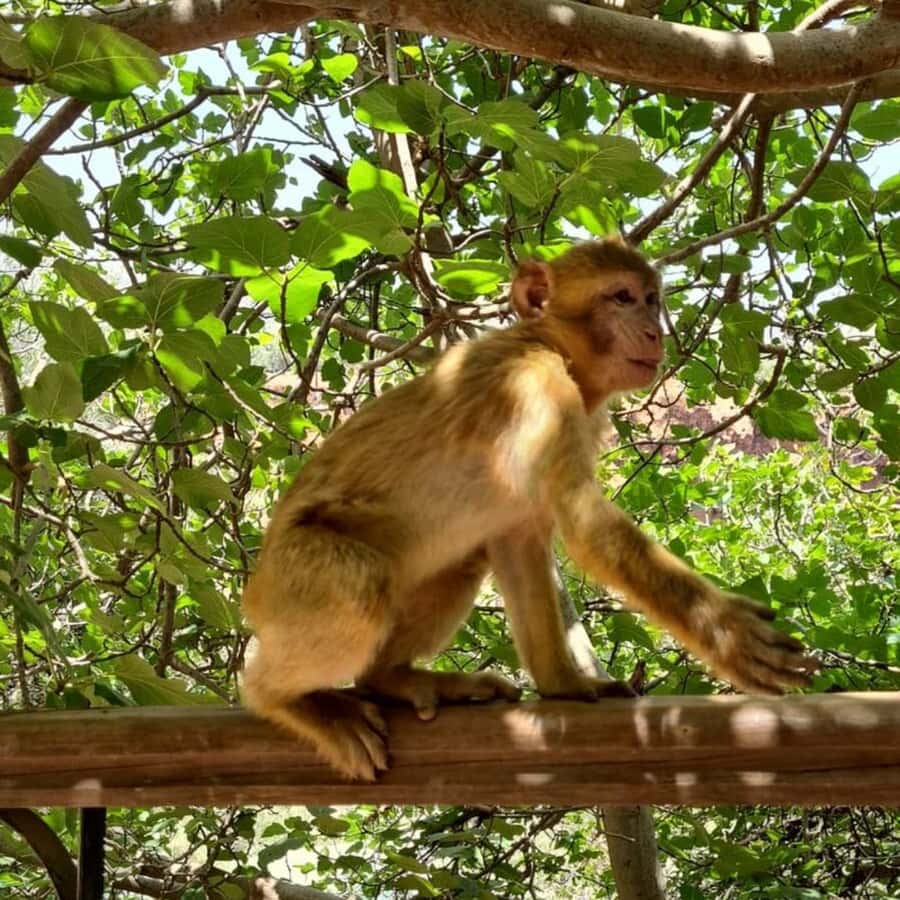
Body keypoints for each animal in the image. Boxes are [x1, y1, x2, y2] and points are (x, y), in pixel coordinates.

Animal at [240, 236, 817, 781]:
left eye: (652, 300)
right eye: (622, 298)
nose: (656, 333)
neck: (547, 343)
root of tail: (255, 591)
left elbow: (519, 538)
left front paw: (563, 684)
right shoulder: (538, 388)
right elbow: (587, 527)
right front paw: (727, 631)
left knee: (462, 561)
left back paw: (389, 677)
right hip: (295, 575)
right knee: (359, 586)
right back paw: (285, 700)